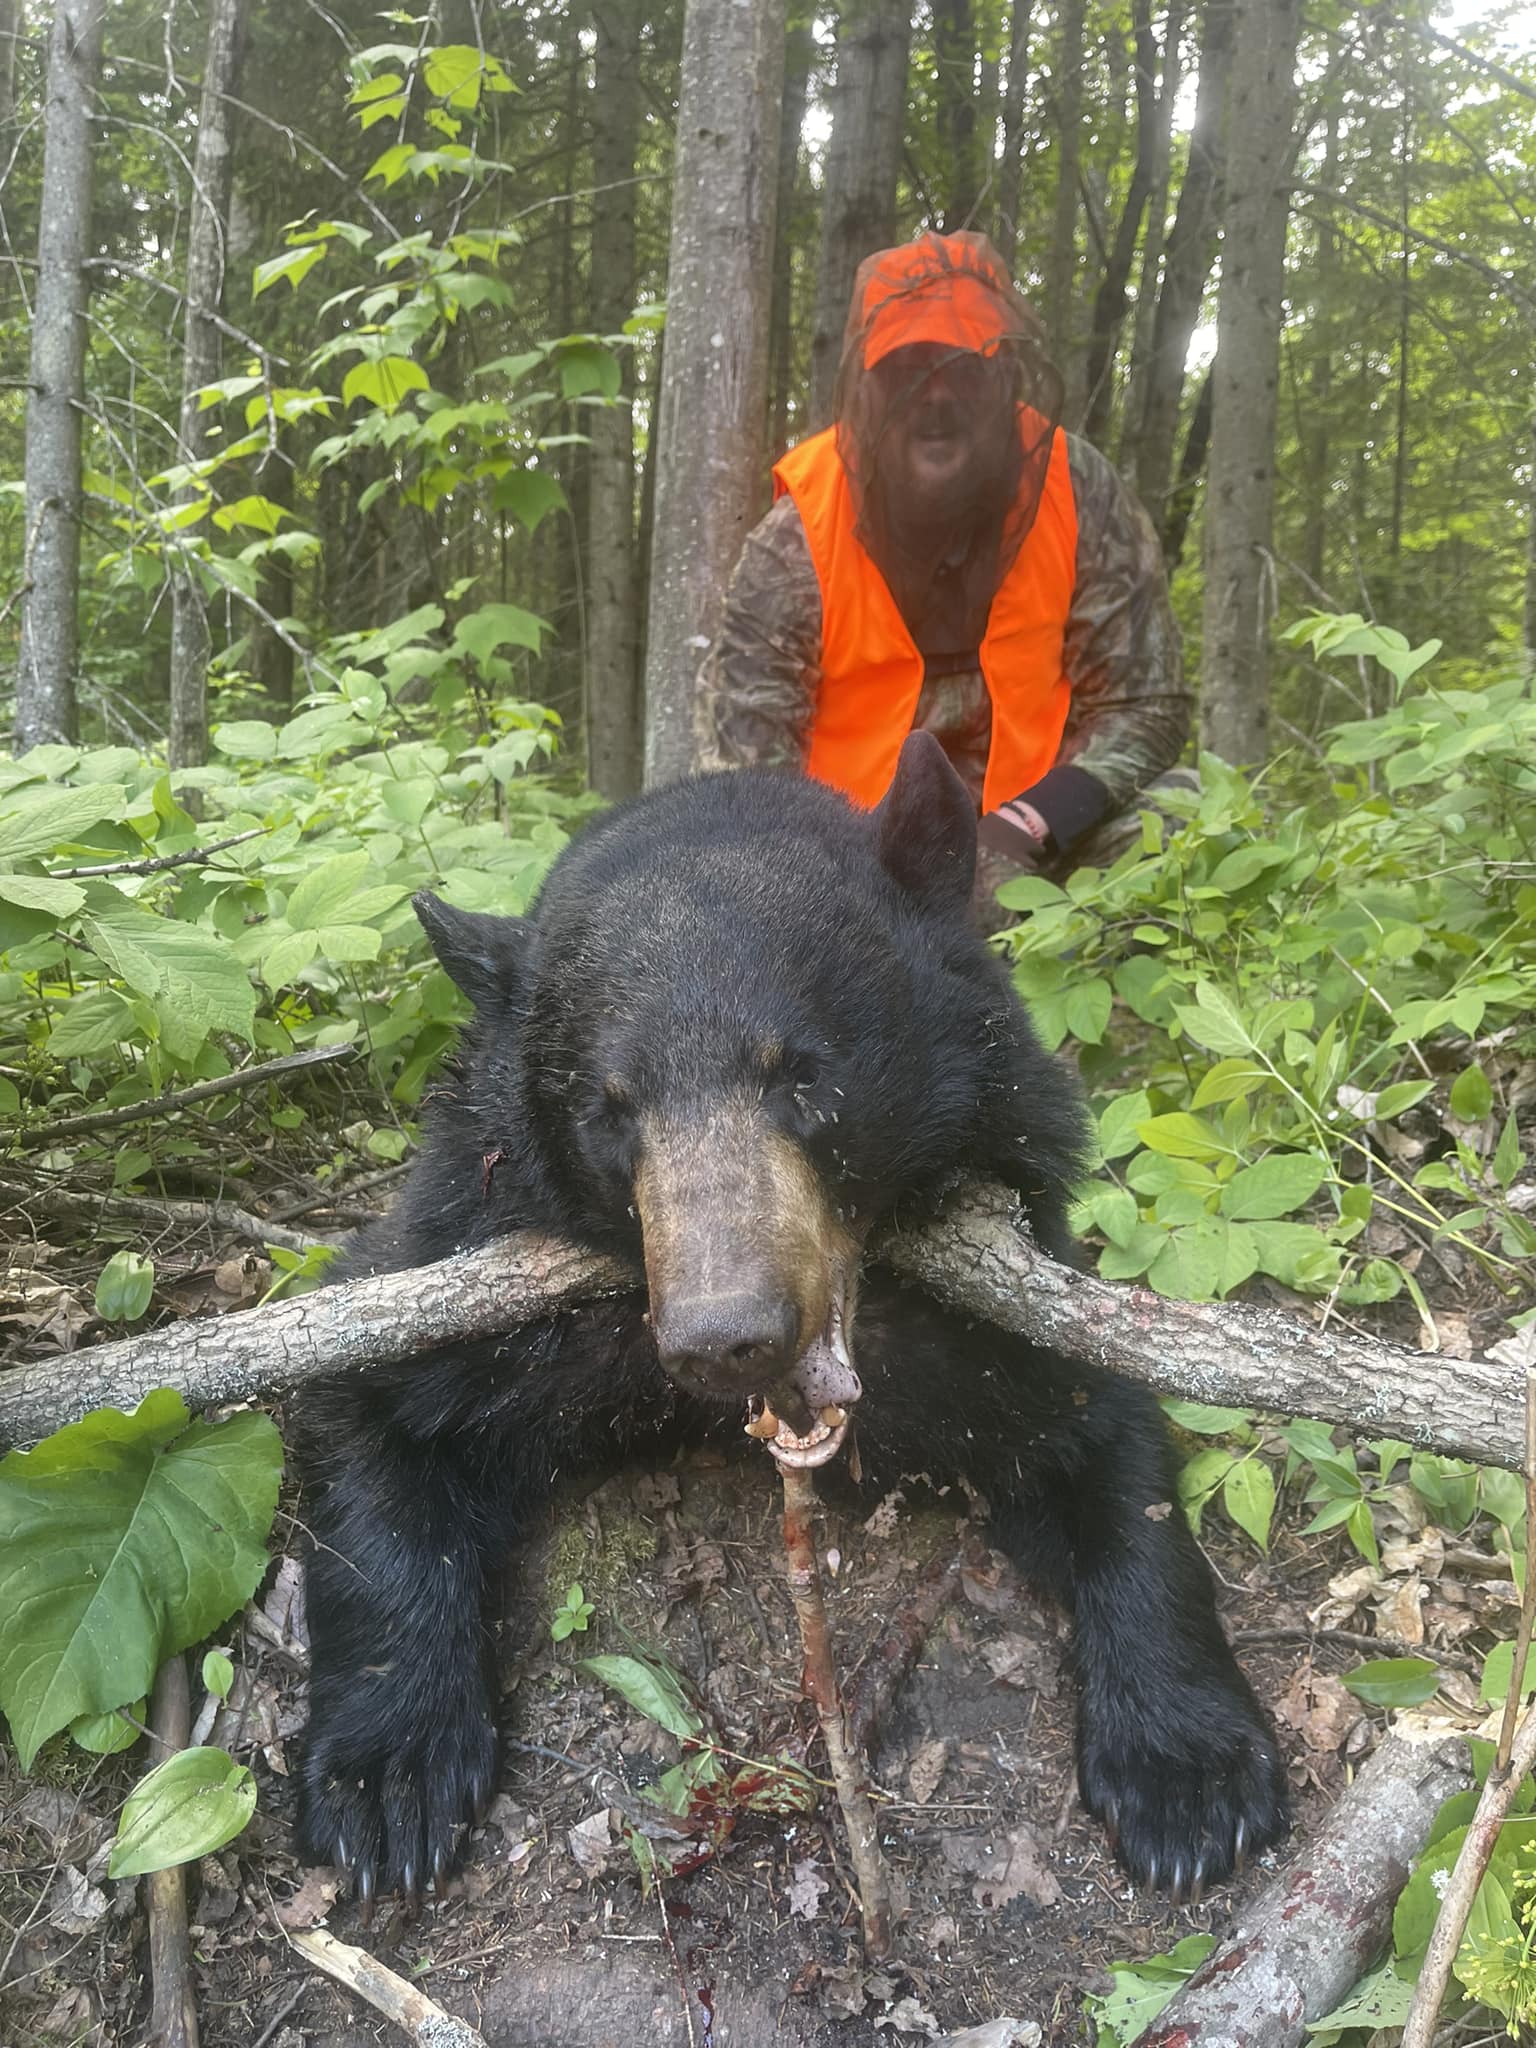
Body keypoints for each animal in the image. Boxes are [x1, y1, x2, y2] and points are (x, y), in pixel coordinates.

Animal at [294, 732, 1288, 1910]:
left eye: (806, 1077)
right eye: (608, 1110)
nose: (727, 1334)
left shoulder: (1001, 1285)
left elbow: (1107, 1435)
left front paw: (1190, 1769)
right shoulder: (470, 1248)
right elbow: (367, 1400)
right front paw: (387, 1768)